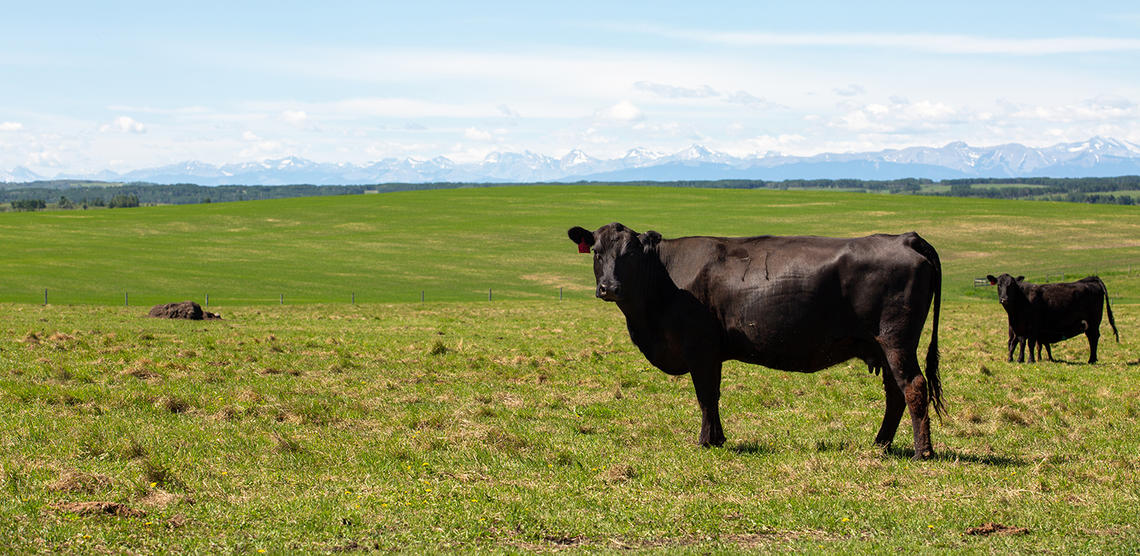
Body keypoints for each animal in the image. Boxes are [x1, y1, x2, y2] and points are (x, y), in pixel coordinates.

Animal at [567, 222, 943, 460]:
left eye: (630, 253)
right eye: (596, 251)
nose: (609, 287)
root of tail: (904, 238)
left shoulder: (701, 348)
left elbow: (706, 396)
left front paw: (707, 441)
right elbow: (711, 397)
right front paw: (717, 438)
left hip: (896, 341)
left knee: (913, 387)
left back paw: (922, 452)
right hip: (884, 346)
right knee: (895, 394)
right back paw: (880, 444)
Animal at [984, 274, 1117, 364]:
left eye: (1011, 286)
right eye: (999, 285)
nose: (1004, 299)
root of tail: (1091, 279)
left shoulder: (1033, 327)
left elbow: (1030, 344)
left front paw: (1030, 360)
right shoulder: (1019, 327)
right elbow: (1020, 342)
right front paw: (1020, 359)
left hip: (1093, 322)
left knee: (1093, 338)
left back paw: (1091, 359)